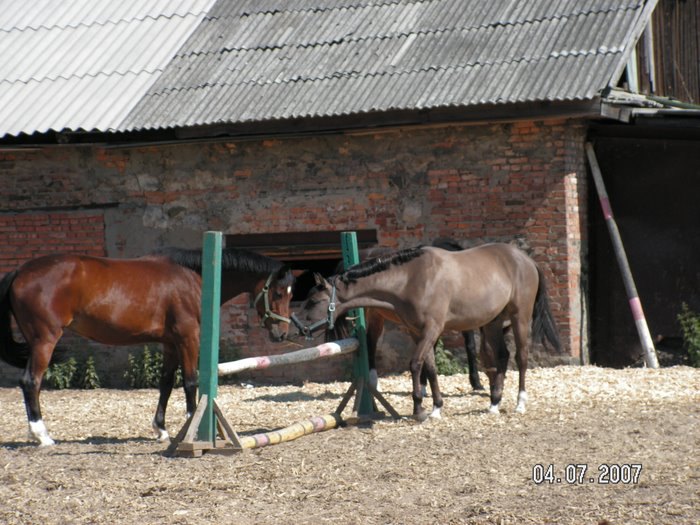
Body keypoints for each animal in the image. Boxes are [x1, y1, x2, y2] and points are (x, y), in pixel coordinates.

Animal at [0, 246, 295, 446]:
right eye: (279, 293)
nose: (281, 333)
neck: (194, 277)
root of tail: (20, 271)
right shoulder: (188, 338)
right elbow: (190, 382)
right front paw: (192, 425)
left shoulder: (170, 344)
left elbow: (165, 384)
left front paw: (161, 429)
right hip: (45, 340)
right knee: (31, 381)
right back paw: (42, 435)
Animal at [295, 243, 561, 421]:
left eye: (313, 301)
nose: (297, 326)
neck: (410, 278)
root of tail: (525, 259)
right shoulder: (418, 332)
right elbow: (430, 368)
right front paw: (436, 407)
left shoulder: (432, 329)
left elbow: (415, 364)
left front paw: (419, 408)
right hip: (493, 322)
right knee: (503, 356)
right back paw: (494, 402)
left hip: (520, 318)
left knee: (521, 357)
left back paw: (520, 403)